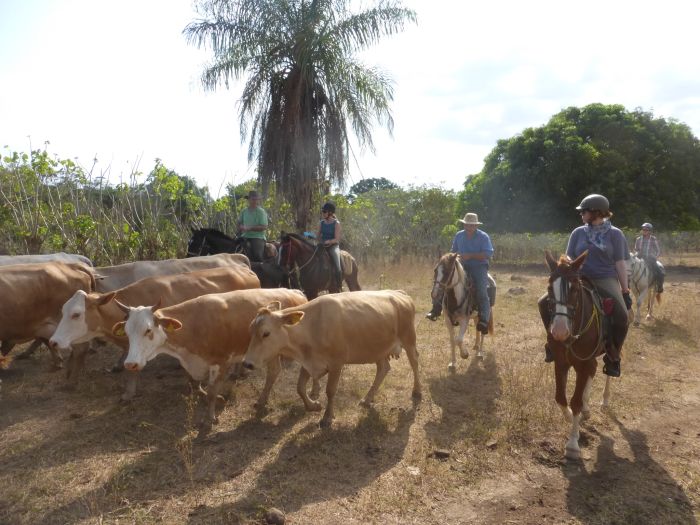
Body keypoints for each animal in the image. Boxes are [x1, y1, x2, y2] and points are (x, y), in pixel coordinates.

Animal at [113, 288, 308, 424]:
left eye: (148, 330)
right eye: (127, 331)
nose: (130, 364)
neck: (193, 325)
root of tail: (295, 292)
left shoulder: (220, 362)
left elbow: (212, 393)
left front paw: (210, 417)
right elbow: (195, 384)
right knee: (274, 372)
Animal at [243, 288, 424, 428]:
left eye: (266, 333)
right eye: (251, 330)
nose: (247, 363)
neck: (312, 327)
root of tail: (399, 293)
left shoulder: (337, 363)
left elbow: (330, 390)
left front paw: (327, 417)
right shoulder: (309, 362)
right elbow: (300, 387)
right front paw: (313, 406)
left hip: (409, 338)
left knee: (414, 362)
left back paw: (417, 391)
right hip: (377, 348)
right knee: (383, 368)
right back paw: (367, 399)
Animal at [544, 250, 608, 458]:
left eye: (574, 289)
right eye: (550, 288)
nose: (559, 331)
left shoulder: (582, 363)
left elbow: (576, 401)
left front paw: (572, 443)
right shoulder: (560, 362)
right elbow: (561, 398)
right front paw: (570, 418)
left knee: (608, 370)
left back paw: (604, 400)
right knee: (594, 370)